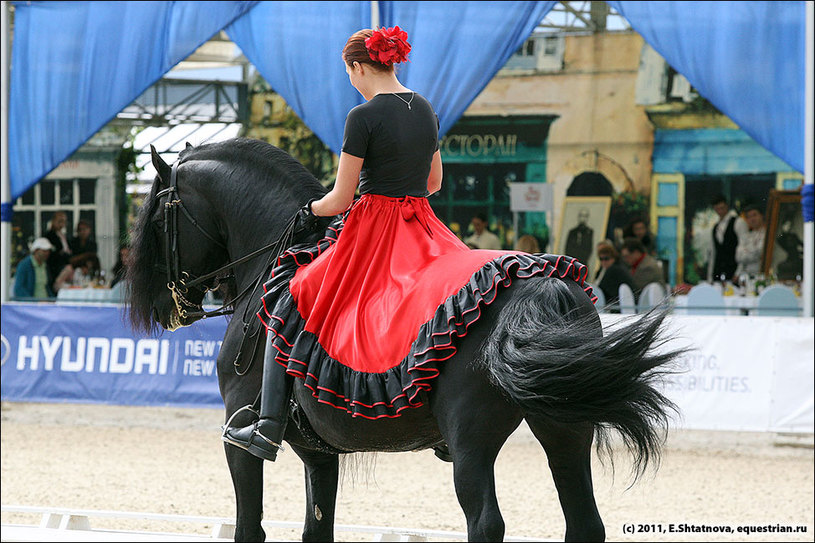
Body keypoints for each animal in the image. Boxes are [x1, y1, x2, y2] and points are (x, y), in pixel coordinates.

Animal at [127, 137, 684, 543]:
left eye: (154, 216)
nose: (166, 309)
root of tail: (540, 284)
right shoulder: (320, 454)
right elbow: (316, 529)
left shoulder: (240, 442)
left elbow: (249, 527)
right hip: (564, 428)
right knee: (584, 522)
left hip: (472, 440)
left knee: (486, 523)